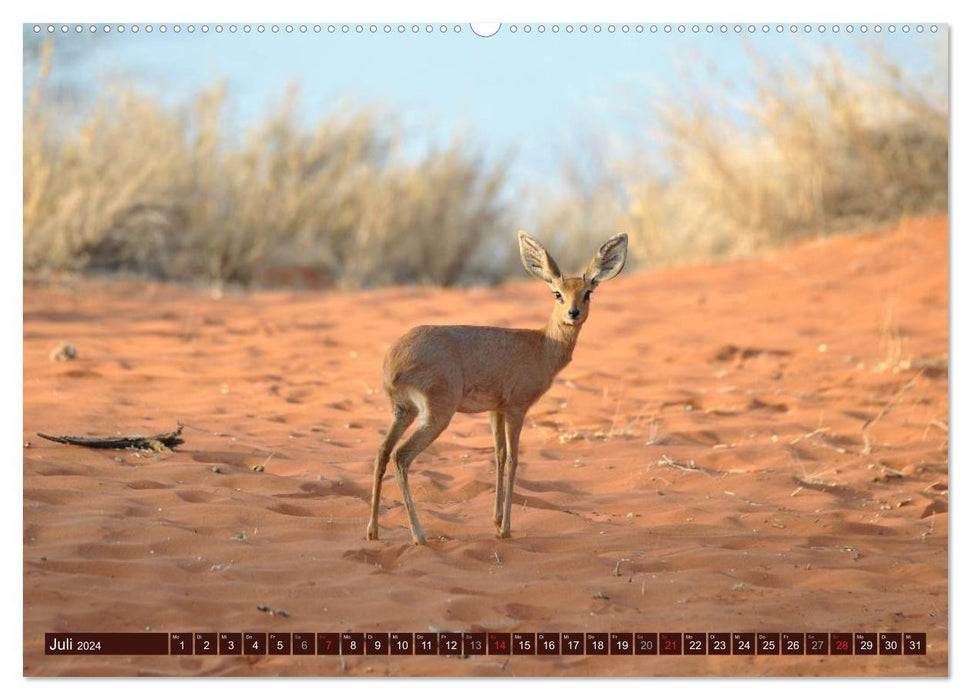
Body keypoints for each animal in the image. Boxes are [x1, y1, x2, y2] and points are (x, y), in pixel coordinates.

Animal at [366, 232, 632, 544]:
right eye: (557, 293)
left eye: (587, 292)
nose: (573, 312)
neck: (543, 345)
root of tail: (393, 361)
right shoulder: (517, 408)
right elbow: (515, 459)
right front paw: (506, 528)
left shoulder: (496, 410)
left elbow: (499, 455)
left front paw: (495, 522)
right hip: (436, 415)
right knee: (401, 457)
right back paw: (419, 535)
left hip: (403, 411)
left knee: (382, 452)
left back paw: (373, 532)